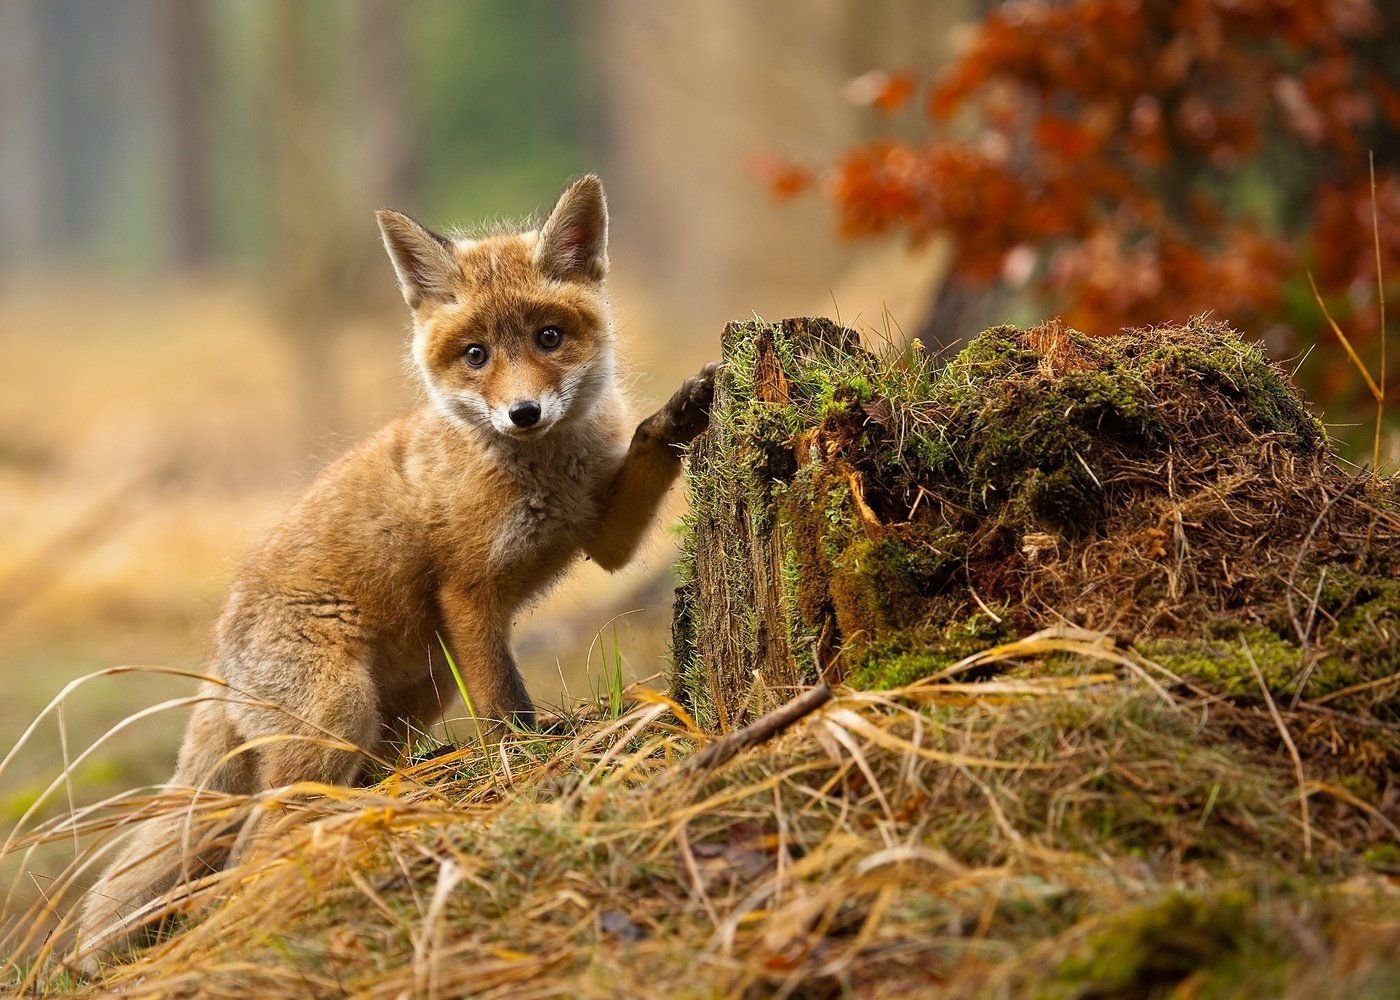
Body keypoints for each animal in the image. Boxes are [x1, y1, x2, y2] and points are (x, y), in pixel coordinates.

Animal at [76, 173, 716, 963]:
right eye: (475, 354)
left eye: (549, 338)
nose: (524, 412)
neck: (540, 473)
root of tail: (219, 657)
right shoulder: (466, 592)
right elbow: (505, 704)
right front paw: (528, 757)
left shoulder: (603, 539)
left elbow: (646, 455)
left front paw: (681, 414)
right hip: (337, 714)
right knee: (252, 842)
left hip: (408, 709)